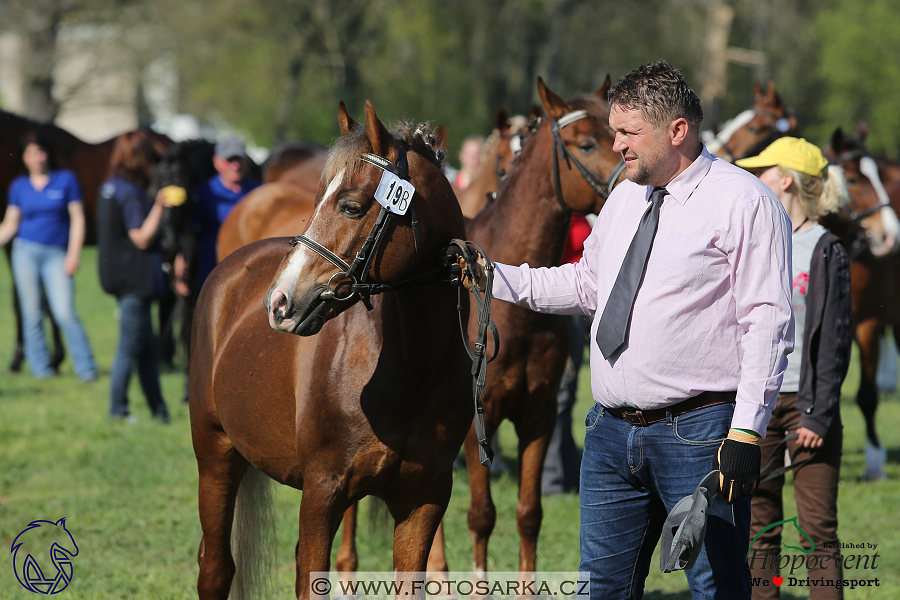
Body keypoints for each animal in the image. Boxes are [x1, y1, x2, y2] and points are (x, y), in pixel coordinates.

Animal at [191, 101, 478, 596]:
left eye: (352, 205)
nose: (279, 302)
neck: (413, 369)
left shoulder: (424, 499)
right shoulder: (322, 492)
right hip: (214, 458)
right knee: (215, 568)